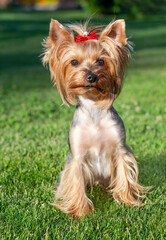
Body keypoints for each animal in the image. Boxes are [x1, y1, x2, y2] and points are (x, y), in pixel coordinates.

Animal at [42, 19, 145, 218]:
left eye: (101, 61)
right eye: (74, 62)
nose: (91, 76)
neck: (93, 107)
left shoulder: (120, 149)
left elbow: (124, 173)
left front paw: (127, 200)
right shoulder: (77, 157)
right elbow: (76, 181)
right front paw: (80, 211)